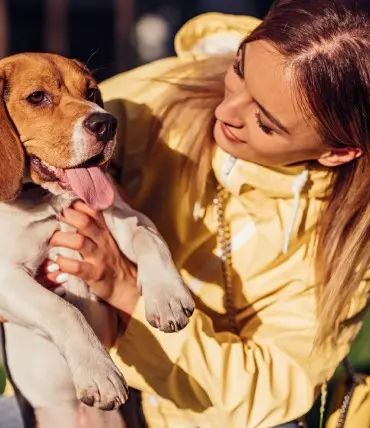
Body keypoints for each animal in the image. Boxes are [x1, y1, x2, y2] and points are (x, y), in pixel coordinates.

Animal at [0, 52, 195, 428]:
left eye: (91, 91)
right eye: (37, 97)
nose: (106, 123)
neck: (49, 202)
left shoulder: (123, 214)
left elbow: (150, 240)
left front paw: (168, 297)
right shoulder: (6, 278)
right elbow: (62, 309)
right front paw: (99, 371)